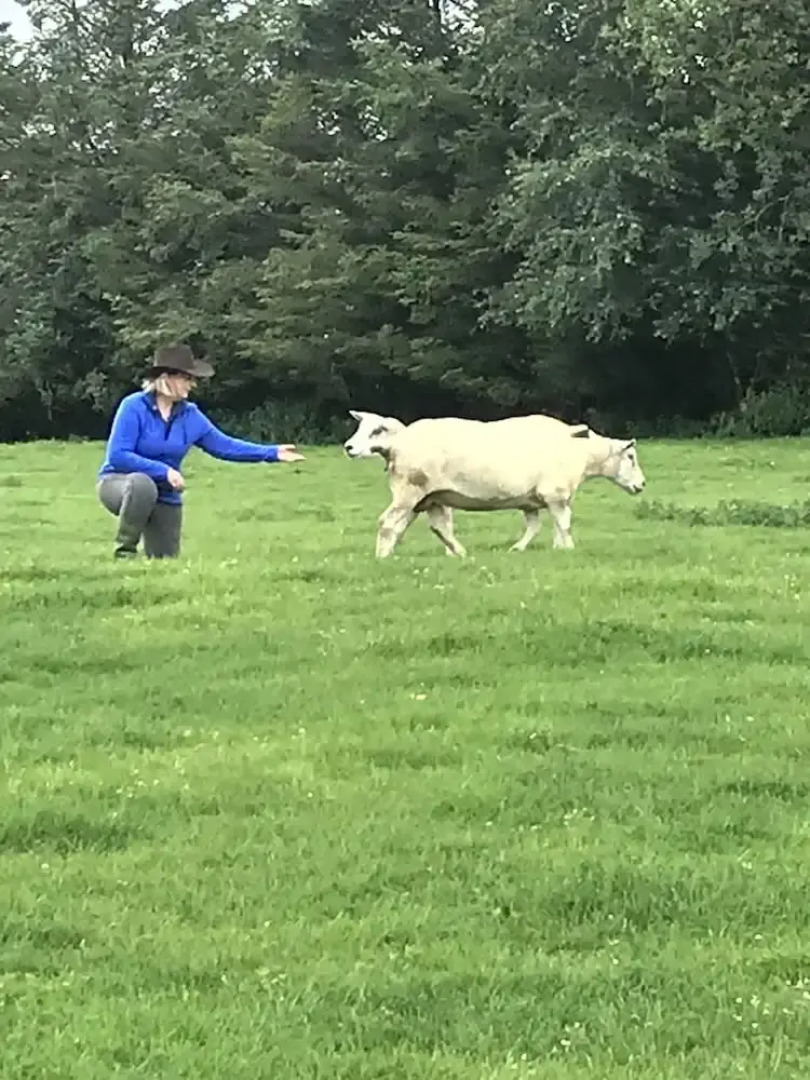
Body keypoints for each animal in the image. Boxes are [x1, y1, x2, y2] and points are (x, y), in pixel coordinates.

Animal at [363, 415, 645, 558]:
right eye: (631, 457)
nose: (642, 484)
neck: (583, 453)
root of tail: (394, 444)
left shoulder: (533, 500)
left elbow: (537, 526)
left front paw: (525, 548)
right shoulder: (556, 493)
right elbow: (563, 523)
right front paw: (568, 549)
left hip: (429, 497)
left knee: (433, 527)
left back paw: (457, 552)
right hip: (409, 490)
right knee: (388, 522)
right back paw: (382, 557)